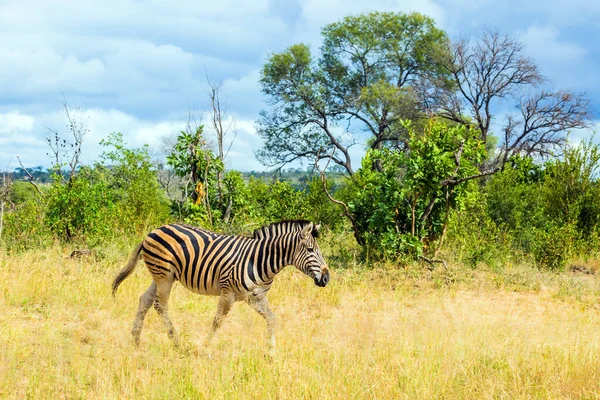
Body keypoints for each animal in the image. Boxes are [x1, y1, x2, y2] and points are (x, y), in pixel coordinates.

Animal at [111, 220, 328, 354]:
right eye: (310, 250)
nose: (326, 278)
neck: (259, 261)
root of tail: (153, 231)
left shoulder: (256, 297)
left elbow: (272, 319)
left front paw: (271, 352)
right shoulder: (227, 293)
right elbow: (217, 322)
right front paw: (204, 346)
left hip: (163, 277)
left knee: (145, 300)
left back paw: (136, 339)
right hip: (164, 276)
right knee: (160, 305)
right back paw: (177, 343)